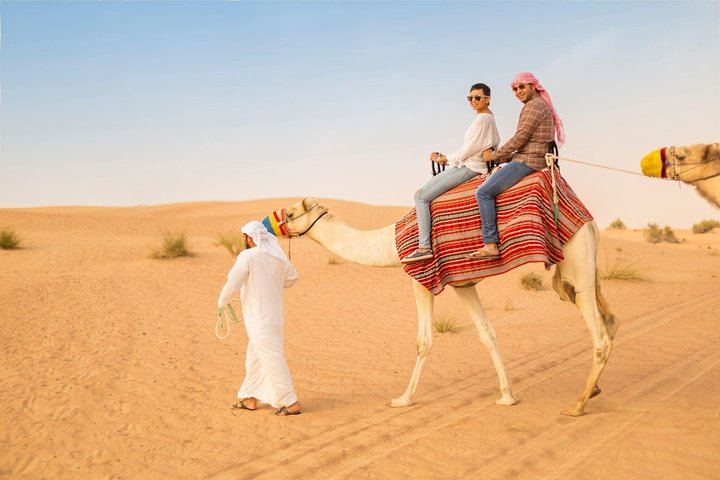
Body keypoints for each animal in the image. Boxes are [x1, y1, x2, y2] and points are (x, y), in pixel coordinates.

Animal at [283, 198, 618, 416]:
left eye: (288, 213)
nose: (276, 224)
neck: (391, 243)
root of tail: (589, 221)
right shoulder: (463, 284)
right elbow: (488, 334)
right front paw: (507, 396)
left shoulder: (421, 279)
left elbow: (423, 341)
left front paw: (402, 399)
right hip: (583, 268)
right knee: (611, 319)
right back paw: (595, 390)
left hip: (576, 263)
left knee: (599, 334)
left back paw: (578, 405)